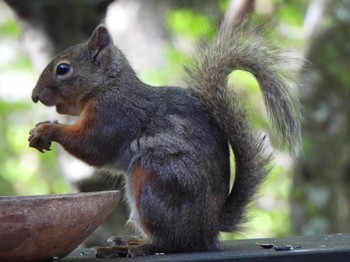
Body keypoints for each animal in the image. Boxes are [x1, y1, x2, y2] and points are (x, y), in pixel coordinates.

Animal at [28, 19, 300, 256]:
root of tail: (208, 229)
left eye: (63, 69)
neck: (107, 85)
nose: (34, 96)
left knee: (169, 242)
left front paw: (46, 130)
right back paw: (128, 241)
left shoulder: (114, 113)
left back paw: (132, 248)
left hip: (155, 181)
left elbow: (94, 146)